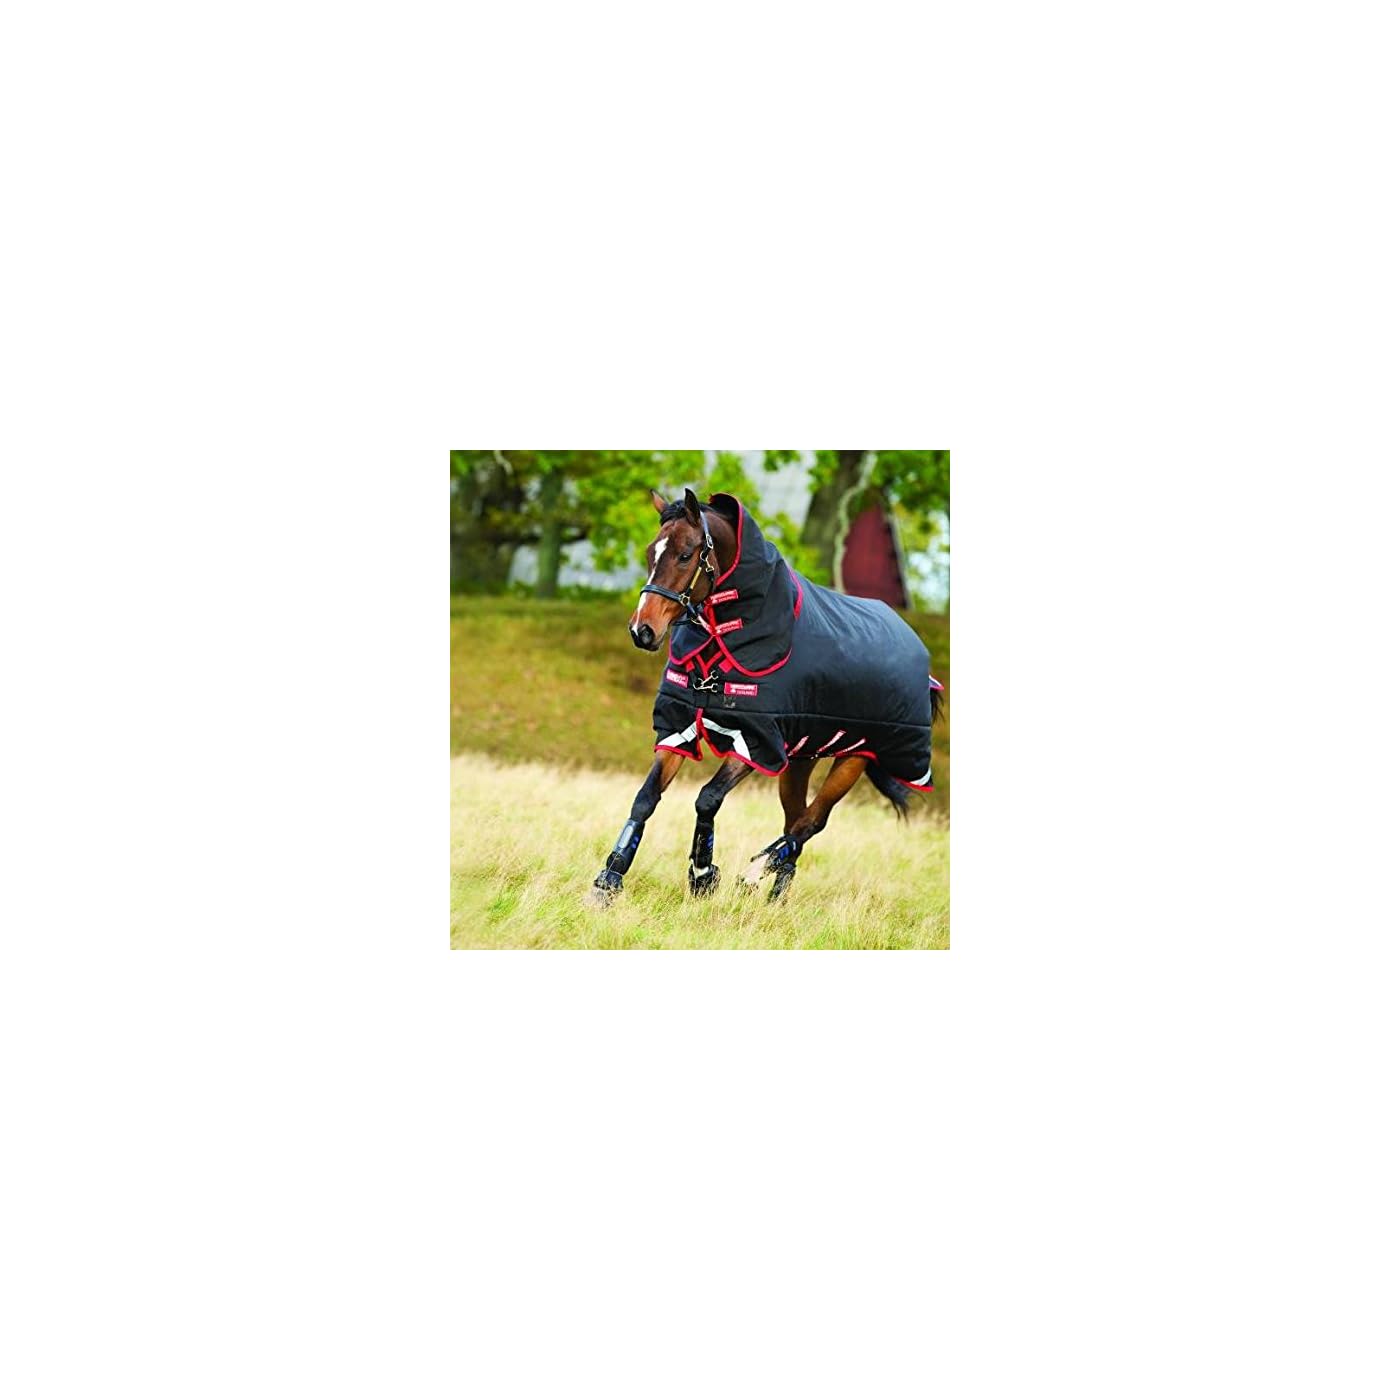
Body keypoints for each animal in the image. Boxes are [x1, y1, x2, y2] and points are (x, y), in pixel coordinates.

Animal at [589, 487, 944, 906]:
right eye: (649, 553)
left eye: (686, 554)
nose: (642, 631)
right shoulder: (678, 731)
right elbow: (645, 798)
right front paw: (608, 880)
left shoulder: (756, 744)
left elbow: (707, 798)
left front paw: (703, 875)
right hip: (800, 761)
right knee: (797, 820)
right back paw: (776, 896)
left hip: (854, 759)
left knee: (811, 822)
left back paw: (754, 872)